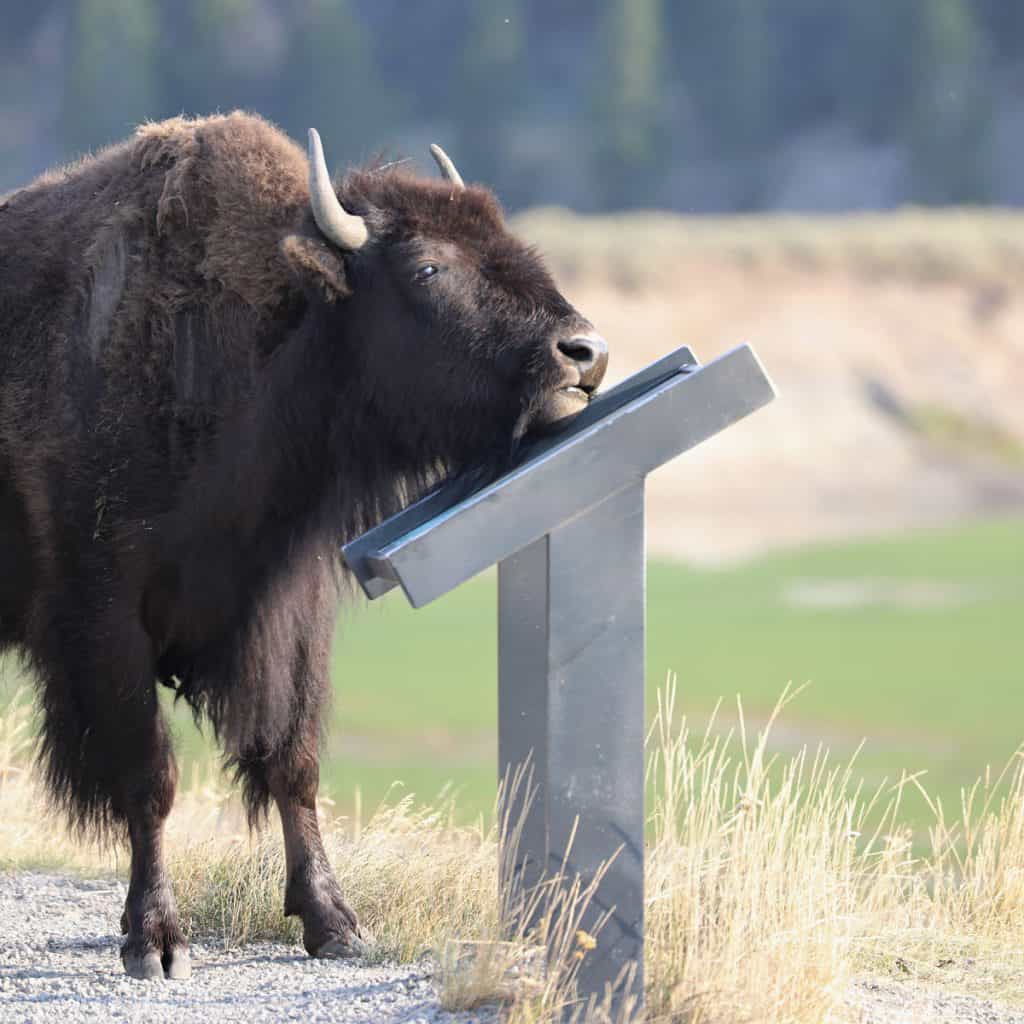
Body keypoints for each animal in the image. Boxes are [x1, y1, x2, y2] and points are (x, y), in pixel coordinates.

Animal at [0, 112, 607, 980]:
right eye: (427, 267)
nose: (583, 352)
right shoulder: (106, 620)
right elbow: (151, 778)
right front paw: (155, 942)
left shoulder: (288, 612)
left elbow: (294, 763)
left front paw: (336, 923)